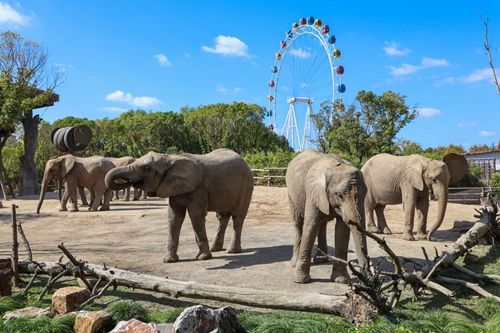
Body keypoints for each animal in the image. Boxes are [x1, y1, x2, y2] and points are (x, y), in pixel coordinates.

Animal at [105, 148, 254, 262]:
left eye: (146, 168)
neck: (170, 158)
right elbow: (174, 217)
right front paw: (169, 260)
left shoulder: (198, 188)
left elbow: (196, 215)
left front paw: (203, 258)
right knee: (222, 217)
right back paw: (216, 249)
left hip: (246, 186)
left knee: (237, 217)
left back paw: (231, 251)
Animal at [288, 150, 370, 282]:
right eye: (339, 195)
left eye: (365, 195)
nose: (369, 279)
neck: (336, 167)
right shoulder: (313, 191)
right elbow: (311, 225)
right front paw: (301, 280)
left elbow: (342, 230)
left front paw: (341, 280)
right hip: (292, 194)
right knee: (298, 223)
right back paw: (295, 263)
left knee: (322, 224)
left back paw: (321, 260)